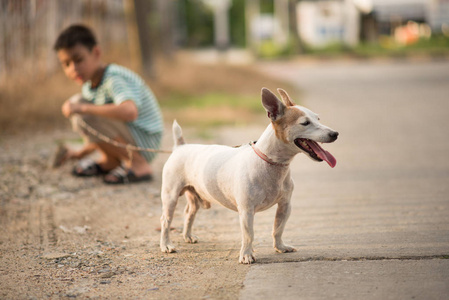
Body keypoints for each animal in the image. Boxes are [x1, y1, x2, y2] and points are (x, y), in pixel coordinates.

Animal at [159, 86, 338, 262]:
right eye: (305, 123)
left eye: (318, 119)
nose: (335, 133)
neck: (271, 162)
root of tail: (180, 146)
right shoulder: (246, 211)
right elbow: (248, 234)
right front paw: (246, 254)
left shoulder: (285, 205)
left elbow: (278, 228)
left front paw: (280, 247)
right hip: (170, 196)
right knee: (166, 221)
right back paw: (166, 245)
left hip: (195, 196)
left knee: (189, 213)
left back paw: (188, 236)